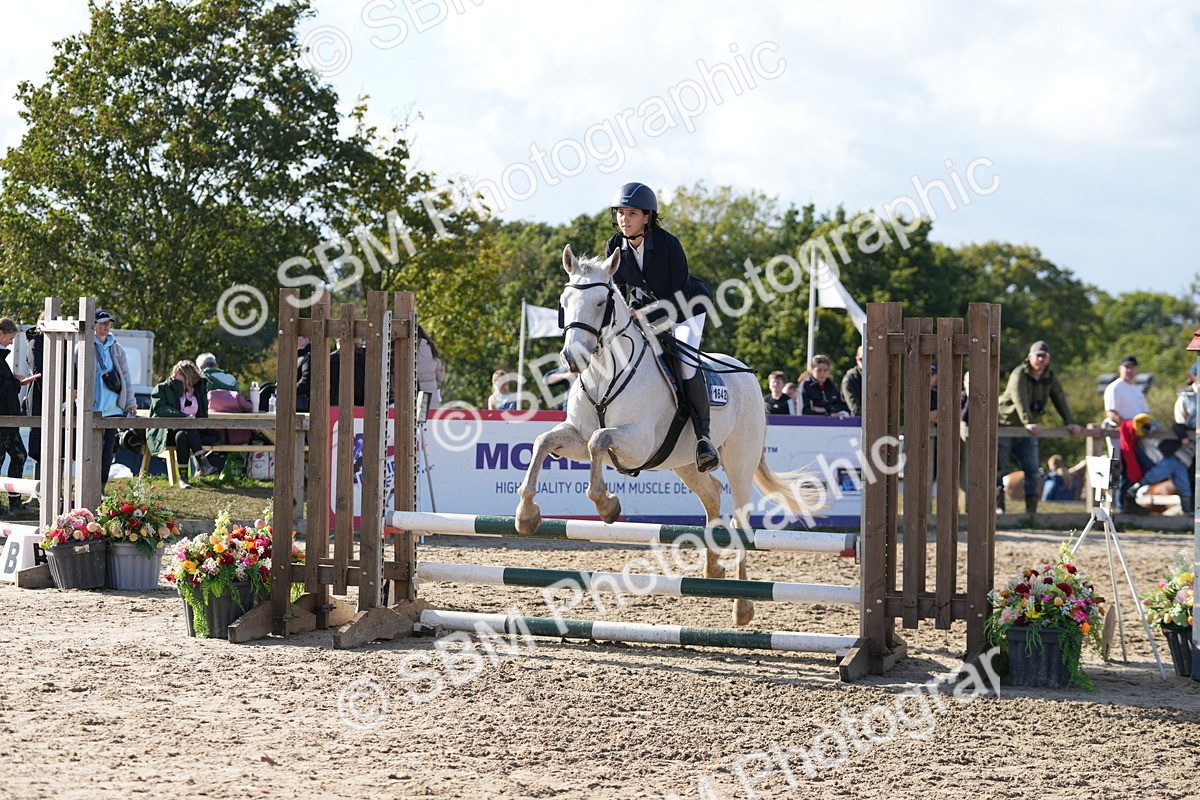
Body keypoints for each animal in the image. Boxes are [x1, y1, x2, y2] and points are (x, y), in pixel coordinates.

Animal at [514, 245, 824, 626]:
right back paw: (712, 570)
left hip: (739, 460)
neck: (603, 372)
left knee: (740, 520)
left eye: (601, 302)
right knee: (712, 494)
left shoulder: (637, 442)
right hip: (685, 462)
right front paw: (526, 516)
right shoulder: (576, 437)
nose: (573, 358)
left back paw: (742, 606)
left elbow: (600, 439)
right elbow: (545, 442)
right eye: (564, 301)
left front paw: (607, 505)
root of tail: (748, 375)